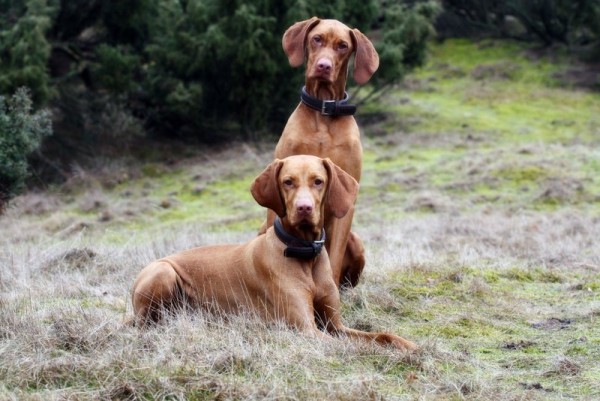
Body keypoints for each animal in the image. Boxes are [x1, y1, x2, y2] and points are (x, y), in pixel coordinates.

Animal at [131, 155, 414, 348]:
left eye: (318, 181)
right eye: (287, 182)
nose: (304, 208)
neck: (304, 254)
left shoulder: (336, 325)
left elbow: (380, 336)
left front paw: (408, 346)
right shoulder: (307, 330)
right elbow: (352, 348)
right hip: (163, 272)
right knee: (145, 323)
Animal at [262, 18, 380, 288]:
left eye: (343, 46)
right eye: (316, 39)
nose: (323, 66)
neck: (324, 113)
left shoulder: (346, 201)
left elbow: (333, 259)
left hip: (356, 242)